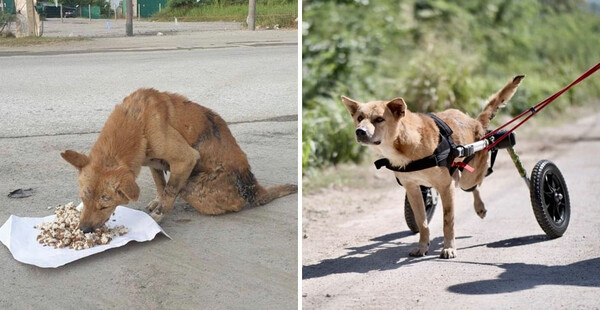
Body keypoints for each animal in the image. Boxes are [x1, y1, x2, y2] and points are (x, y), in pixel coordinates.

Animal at [61, 88, 296, 231]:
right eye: (83, 200)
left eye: (104, 205)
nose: (84, 230)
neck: (137, 121)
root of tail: (253, 185)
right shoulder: (153, 162)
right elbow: (160, 184)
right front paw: (158, 200)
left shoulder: (186, 159)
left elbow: (170, 190)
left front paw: (159, 215)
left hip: (193, 187)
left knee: (231, 202)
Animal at [344, 76, 524, 258]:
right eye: (359, 118)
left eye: (379, 119)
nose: (360, 131)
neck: (406, 143)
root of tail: (475, 122)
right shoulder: (413, 189)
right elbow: (422, 222)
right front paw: (423, 246)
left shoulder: (446, 187)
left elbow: (448, 221)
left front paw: (449, 247)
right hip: (457, 178)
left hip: (468, 177)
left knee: (476, 184)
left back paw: (479, 206)